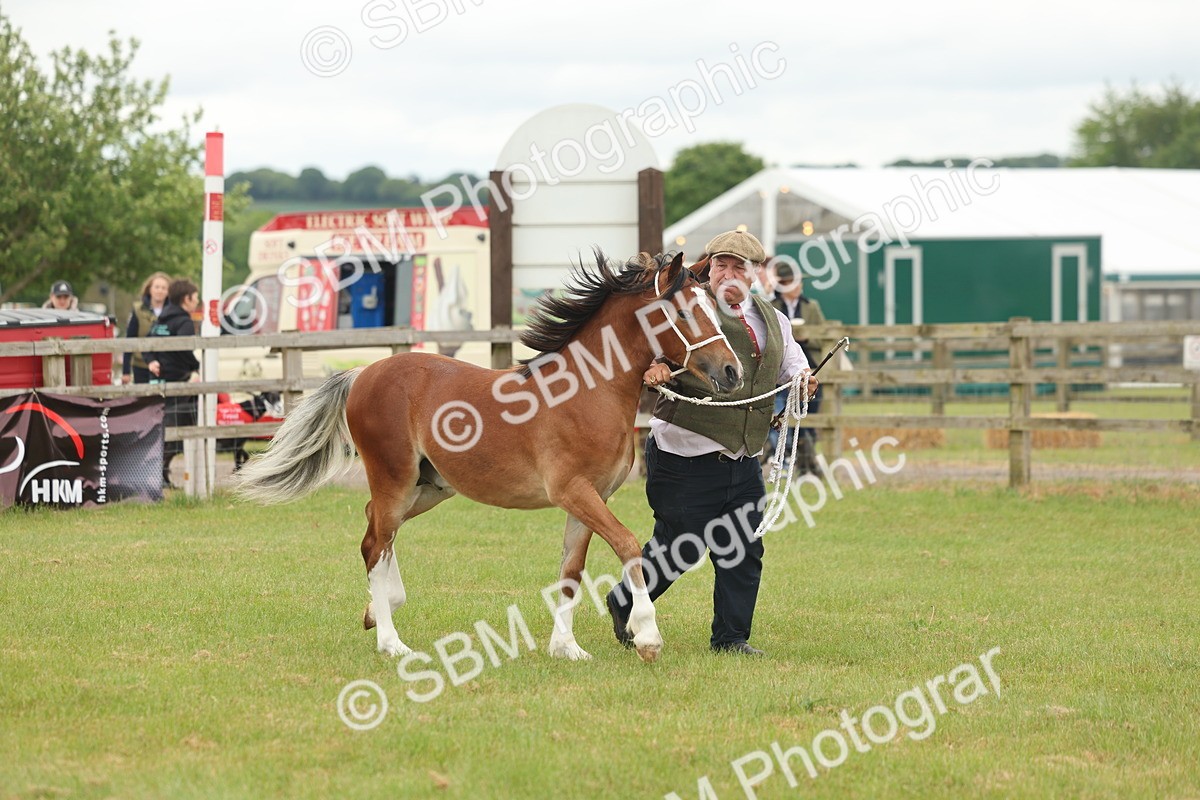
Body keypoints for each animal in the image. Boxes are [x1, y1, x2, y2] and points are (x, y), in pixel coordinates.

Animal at [234, 250, 743, 663]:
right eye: (683, 311)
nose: (732, 371)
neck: (587, 392)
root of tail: (363, 373)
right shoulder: (574, 492)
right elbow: (628, 545)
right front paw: (647, 638)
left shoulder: (589, 499)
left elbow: (571, 571)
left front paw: (567, 648)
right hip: (394, 477)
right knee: (376, 541)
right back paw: (392, 642)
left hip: (429, 487)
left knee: (373, 529)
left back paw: (378, 611)